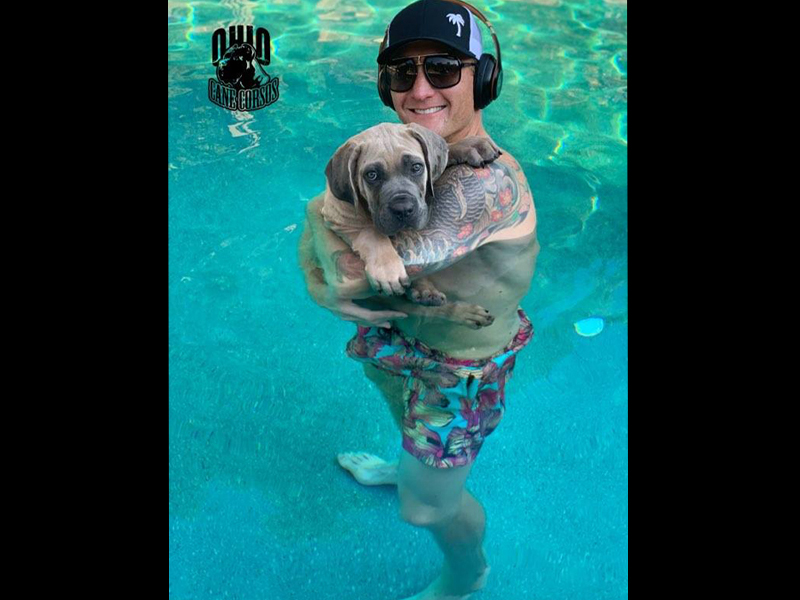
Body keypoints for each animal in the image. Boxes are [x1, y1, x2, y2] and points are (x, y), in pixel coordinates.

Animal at [322, 122, 501, 309]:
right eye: (372, 175)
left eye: (416, 167)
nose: (403, 209)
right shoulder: (340, 217)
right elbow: (371, 233)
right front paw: (388, 268)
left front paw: (468, 146)